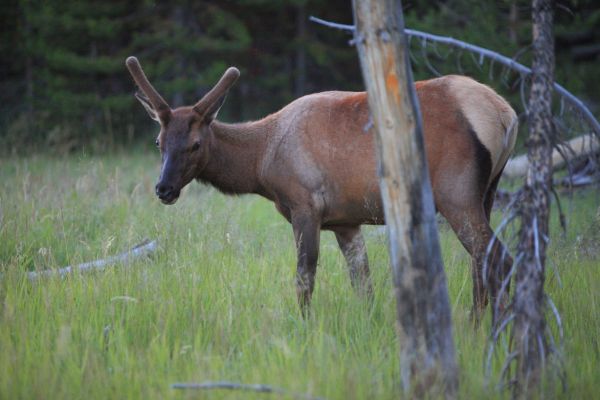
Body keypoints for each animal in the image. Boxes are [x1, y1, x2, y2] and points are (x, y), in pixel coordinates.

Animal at [125, 55, 516, 318]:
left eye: (194, 145)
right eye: (159, 142)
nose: (164, 189)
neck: (262, 163)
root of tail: (505, 114)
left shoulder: (305, 204)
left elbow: (305, 275)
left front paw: (304, 324)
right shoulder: (346, 221)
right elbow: (363, 282)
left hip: (456, 193)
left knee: (498, 256)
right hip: (487, 191)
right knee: (481, 261)